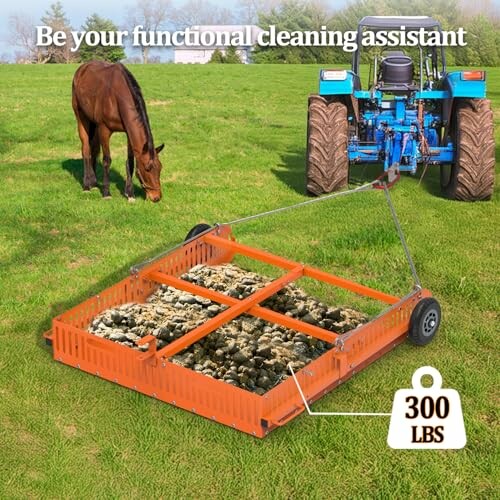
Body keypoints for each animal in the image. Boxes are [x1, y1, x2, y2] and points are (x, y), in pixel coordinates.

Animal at [71, 61, 164, 202]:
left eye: (160, 167)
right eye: (147, 168)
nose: (156, 197)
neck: (116, 97)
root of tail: (81, 69)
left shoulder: (128, 133)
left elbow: (130, 161)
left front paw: (130, 194)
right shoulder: (104, 129)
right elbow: (106, 160)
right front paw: (106, 193)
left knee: (93, 149)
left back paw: (94, 183)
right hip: (81, 117)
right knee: (86, 149)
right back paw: (87, 185)